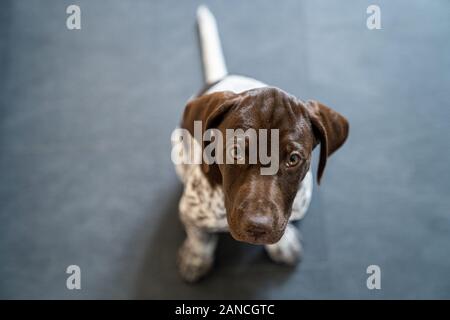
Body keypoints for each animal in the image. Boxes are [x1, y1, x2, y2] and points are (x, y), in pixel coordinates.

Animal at [172, 4, 348, 280]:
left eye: (293, 159)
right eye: (235, 151)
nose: (258, 226)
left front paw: (283, 245)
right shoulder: (190, 210)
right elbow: (199, 234)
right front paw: (196, 256)